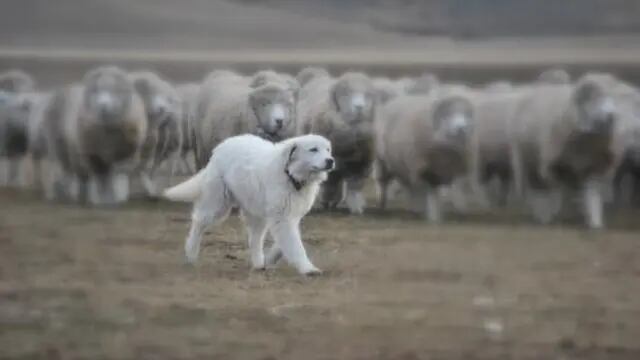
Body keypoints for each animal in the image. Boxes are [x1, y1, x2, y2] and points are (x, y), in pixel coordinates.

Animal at [38, 65, 146, 204]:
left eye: (115, 90)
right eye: (95, 91)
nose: (103, 106)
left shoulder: (126, 153)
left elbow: (118, 176)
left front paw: (117, 197)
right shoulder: (94, 156)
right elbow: (102, 179)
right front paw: (105, 200)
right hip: (61, 148)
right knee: (69, 172)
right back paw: (70, 195)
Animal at [164, 134, 336, 274]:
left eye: (328, 150)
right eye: (313, 149)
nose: (330, 161)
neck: (291, 175)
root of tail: (221, 147)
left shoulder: (290, 216)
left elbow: (286, 242)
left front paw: (271, 259)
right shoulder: (282, 218)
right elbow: (295, 244)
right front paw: (308, 268)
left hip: (256, 212)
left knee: (255, 239)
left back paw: (259, 263)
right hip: (217, 205)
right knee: (198, 224)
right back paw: (191, 254)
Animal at [298, 71, 378, 215]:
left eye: (368, 94)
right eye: (346, 93)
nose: (359, 107)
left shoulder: (361, 163)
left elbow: (355, 186)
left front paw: (356, 207)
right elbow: (329, 184)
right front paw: (326, 201)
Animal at [376, 90, 476, 222]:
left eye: (466, 115)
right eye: (448, 115)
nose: (462, 128)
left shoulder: (457, 170)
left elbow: (457, 192)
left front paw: (460, 210)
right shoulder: (425, 169)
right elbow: (431, 193)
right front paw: (433, 218)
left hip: (402, 164)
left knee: (407, 185)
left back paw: (413, 208)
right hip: (383, 162)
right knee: (384, 183)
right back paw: (383, 205)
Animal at [508, 74, 624, 228]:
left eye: (613, 97)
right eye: (595, 97)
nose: (612, 115)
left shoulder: (593, 167)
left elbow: (591, 195)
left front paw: (594, 222)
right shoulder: (555, 167)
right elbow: (560, 193)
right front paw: (558, 215)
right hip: (524, 161)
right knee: (534, 188)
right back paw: (540, 215)